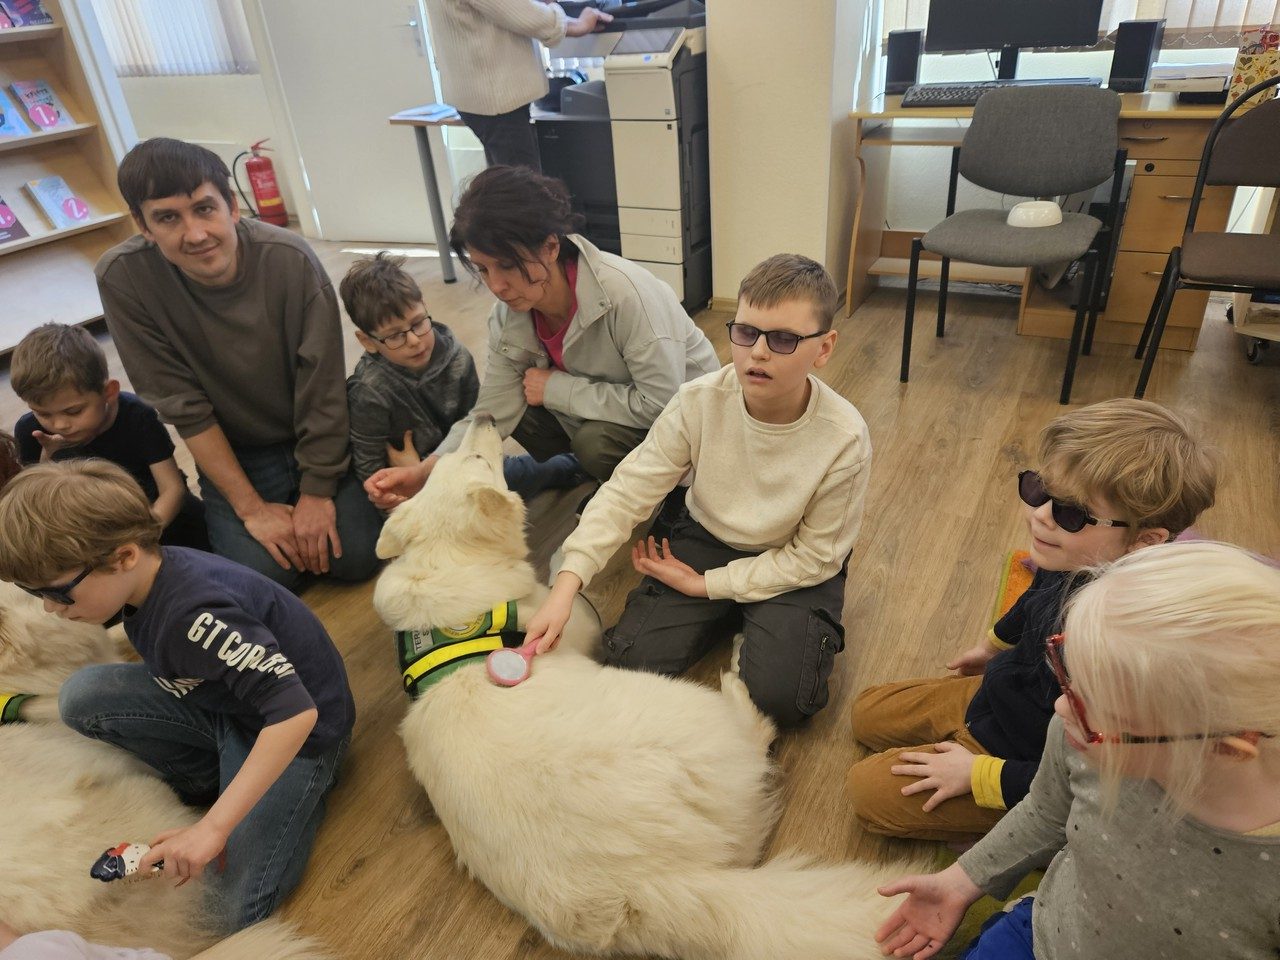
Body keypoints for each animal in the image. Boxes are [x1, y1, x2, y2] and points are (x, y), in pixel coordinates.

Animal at [374, 416, 914, 960]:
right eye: (481, 460)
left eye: (457, 458)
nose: (480, 419)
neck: (446, 569)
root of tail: (658, 880)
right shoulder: (579, 622)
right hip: (689, 708)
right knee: (759, 726)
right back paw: (737, 674)